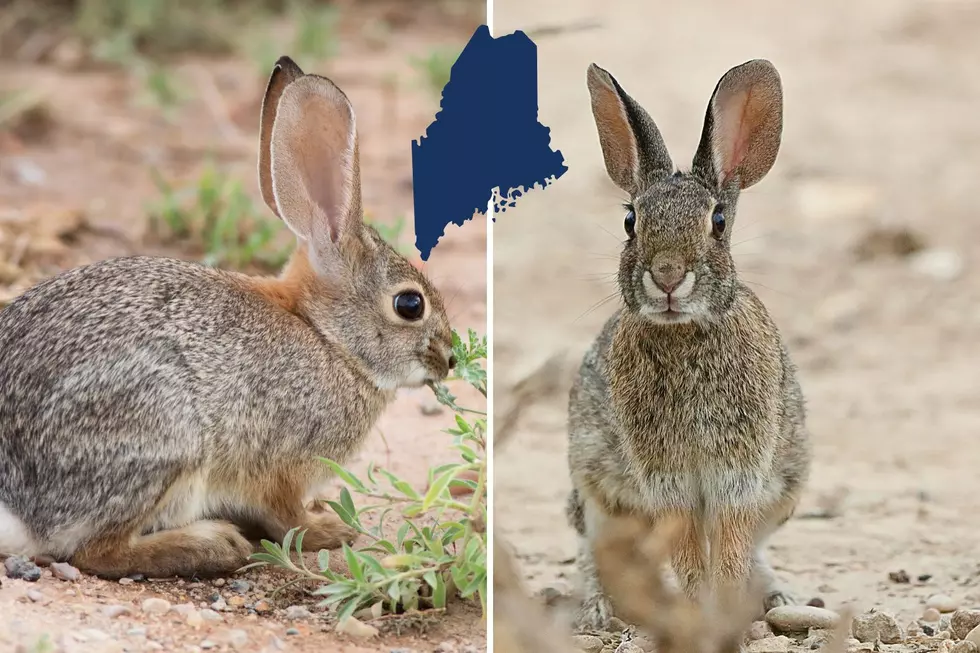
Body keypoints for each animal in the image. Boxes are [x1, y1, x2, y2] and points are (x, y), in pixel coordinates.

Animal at [0, 56, 455, 579]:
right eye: (410, 305)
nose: (451, 357)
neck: (327, 338)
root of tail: (17, 504)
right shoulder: (280, 464)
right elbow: (287, 517)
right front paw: (329, 531)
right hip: (165, 437)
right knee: (97, 551)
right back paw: (213, 545)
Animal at [565, 59, 811, 630]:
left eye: (718, 221)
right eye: (630, 221)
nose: (668, 276)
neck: (686, 334)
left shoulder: (739, 475)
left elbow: (732, 550)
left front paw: (726, 615)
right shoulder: (666, 480)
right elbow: (688, 553)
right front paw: (702, 617)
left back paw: (781, 598)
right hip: (593, 490)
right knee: (593, 549)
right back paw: (597, 610)